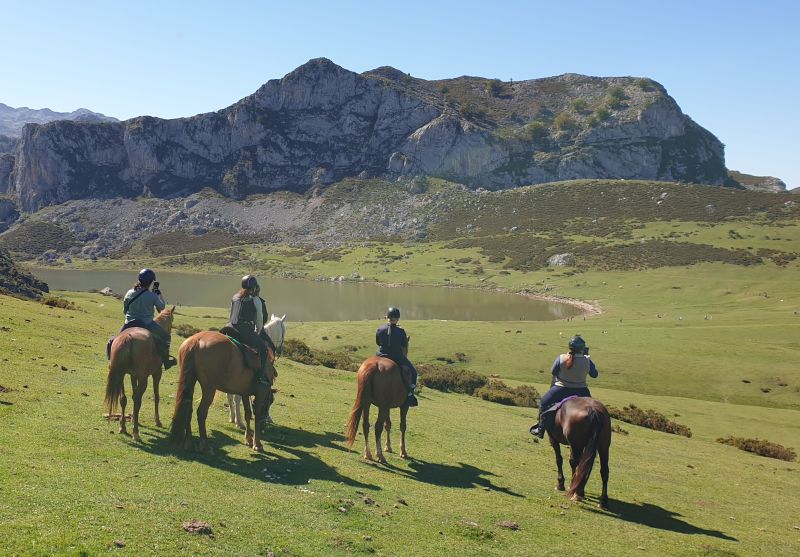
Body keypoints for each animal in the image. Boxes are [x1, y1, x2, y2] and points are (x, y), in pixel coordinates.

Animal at [104, 306, 176, 440]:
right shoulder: (157, 373)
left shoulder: (133, 375)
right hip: (143, 378)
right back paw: (135, 432)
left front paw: (133, 418)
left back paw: (123, 427)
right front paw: (157, 421)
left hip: (120, 375)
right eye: (172, 320)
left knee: (123, 398)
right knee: (138, 400)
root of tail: (128, 338)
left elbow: (132, 394)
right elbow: (156, 396)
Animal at [167, 322, 276, 452]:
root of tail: (196, 341)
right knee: (201, 412)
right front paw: (257, 444)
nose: (265, 425)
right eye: (269, 402)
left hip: (190, 382)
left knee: (188, 407)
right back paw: (205, 445)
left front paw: (248, 439)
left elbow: (248, 413)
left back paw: (188, 441)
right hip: (209, 389)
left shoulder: (245, 393)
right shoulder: (261, 393)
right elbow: (257, 415)